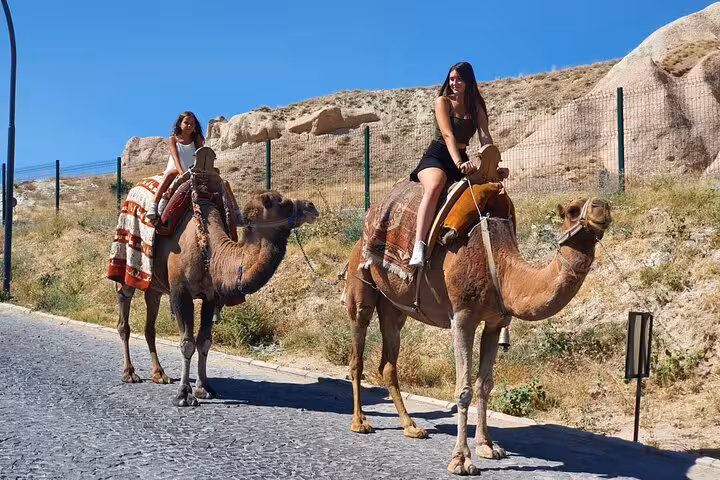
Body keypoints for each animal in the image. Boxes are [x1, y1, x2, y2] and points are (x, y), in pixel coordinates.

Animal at [115, 181, 319, 407]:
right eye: (285, 204)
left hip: (155, 287)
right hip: (126, 269)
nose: (311, 206)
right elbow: (187, 343)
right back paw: (129, 373)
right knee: (124, 317)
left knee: (150, 324)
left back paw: (160, 374)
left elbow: (204, 341)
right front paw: (184, 394)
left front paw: (204, 388)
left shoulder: (210, 296)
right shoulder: (180, 292)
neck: (209, 251)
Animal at [344, 185, 611, 475]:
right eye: (573, 210)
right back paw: (360, 422)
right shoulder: (462, 317)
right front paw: (460, 460)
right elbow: (464, 390)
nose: (602, 206)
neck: (501, 268)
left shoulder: (494, 322)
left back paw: (411, 427)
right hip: (361, 285)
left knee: (388, 363)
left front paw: (487, 446)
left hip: (394, 307)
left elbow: (485, 385)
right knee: (357, 350)